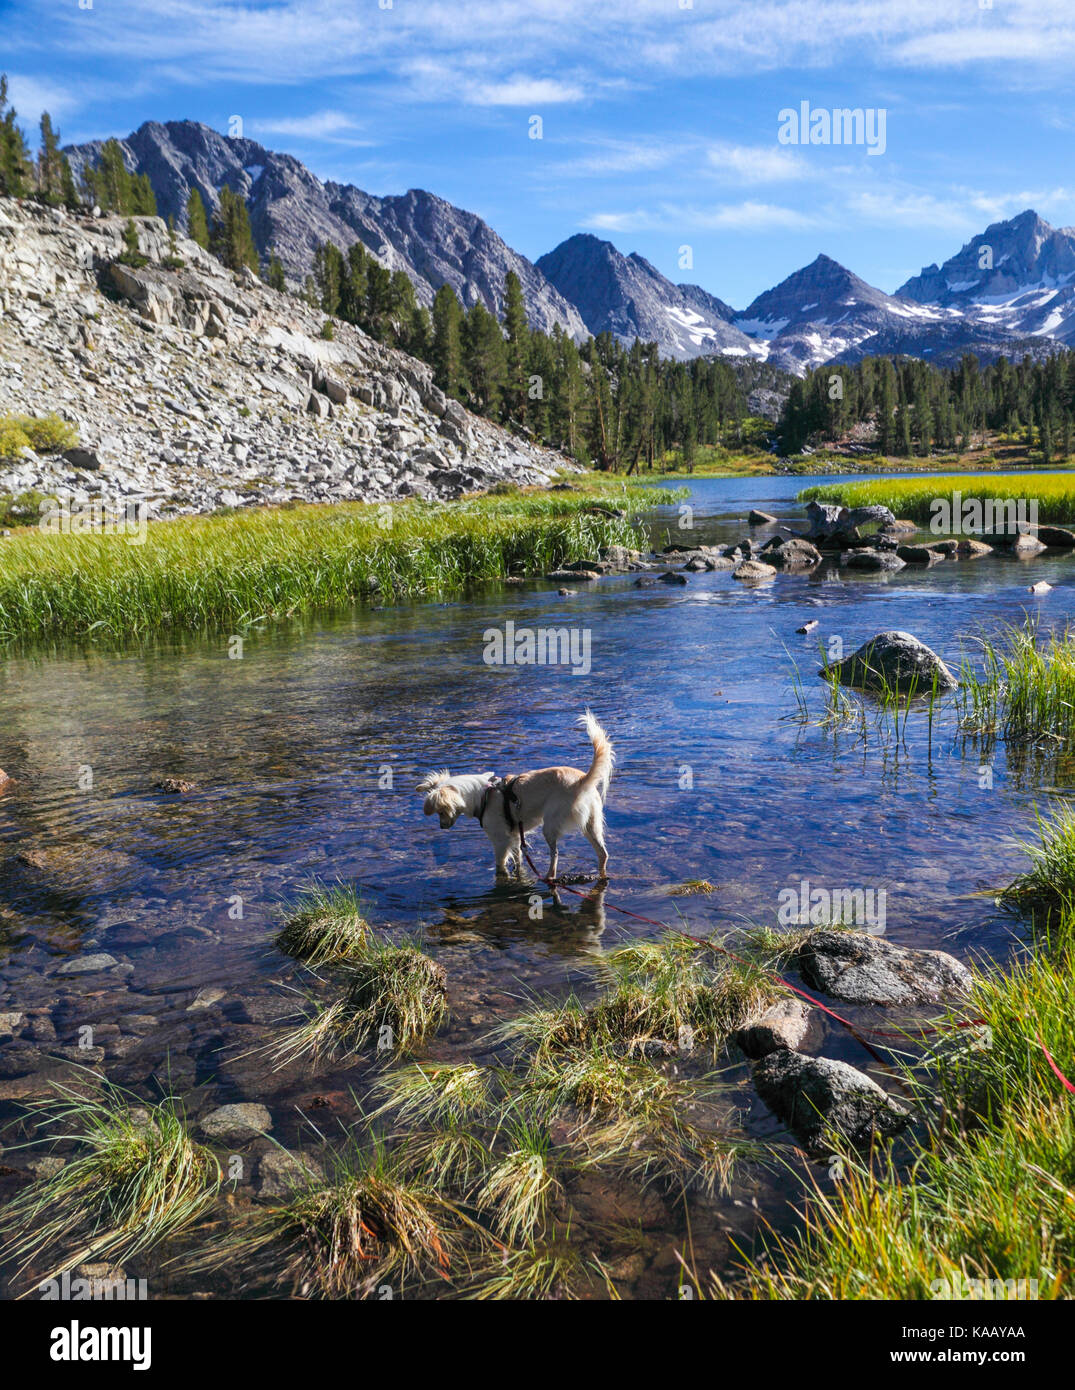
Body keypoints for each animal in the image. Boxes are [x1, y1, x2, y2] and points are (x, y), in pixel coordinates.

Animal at [414, 711, 611, 884]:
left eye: (440, 812)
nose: (442, 827)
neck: (483, 795)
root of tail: (582, 780)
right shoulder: (516, 837)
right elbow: (518, 860)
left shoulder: (501, 841)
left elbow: (500, 866)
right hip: (591, 825)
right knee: (603, 853)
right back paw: (601, 876)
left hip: (550, 825)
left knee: (555, 855)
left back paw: (549, 876)